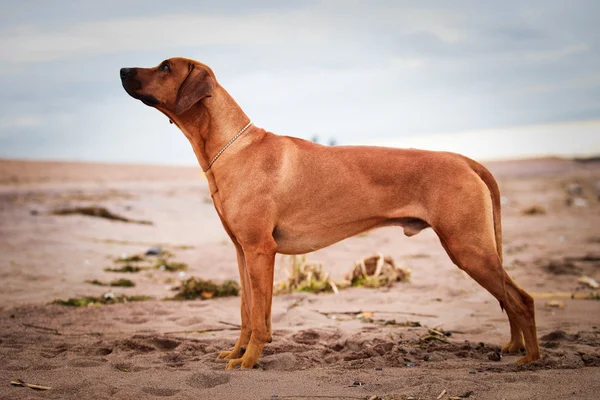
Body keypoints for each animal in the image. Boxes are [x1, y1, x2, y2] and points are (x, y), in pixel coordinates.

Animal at [119, 56, 540, 368]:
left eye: (164, 67)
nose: (122, 70)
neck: (232, 148)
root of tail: (467, 160)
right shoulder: (242, 252)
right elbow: (245, 313)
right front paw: (237, 353)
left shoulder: (260, 251)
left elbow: (259, 319)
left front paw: (249, 361)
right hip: (476, 249)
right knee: (508, 298)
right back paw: (516, 348)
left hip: (468, 248)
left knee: (522, 299)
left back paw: (531, 359)